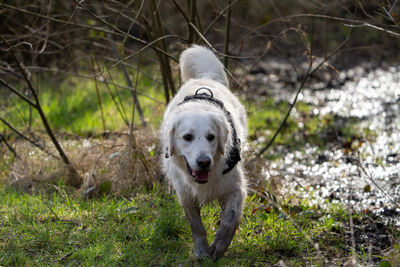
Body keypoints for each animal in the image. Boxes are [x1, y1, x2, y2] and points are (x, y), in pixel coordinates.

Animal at [160, 46, 247, 262]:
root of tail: (206, 77)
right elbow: (196, 226)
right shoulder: (185, 194)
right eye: (187, 137)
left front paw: (219, 247)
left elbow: (230, 220)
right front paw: (201, 251)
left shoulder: (235, 188)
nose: (204, 162)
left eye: (211, 137)